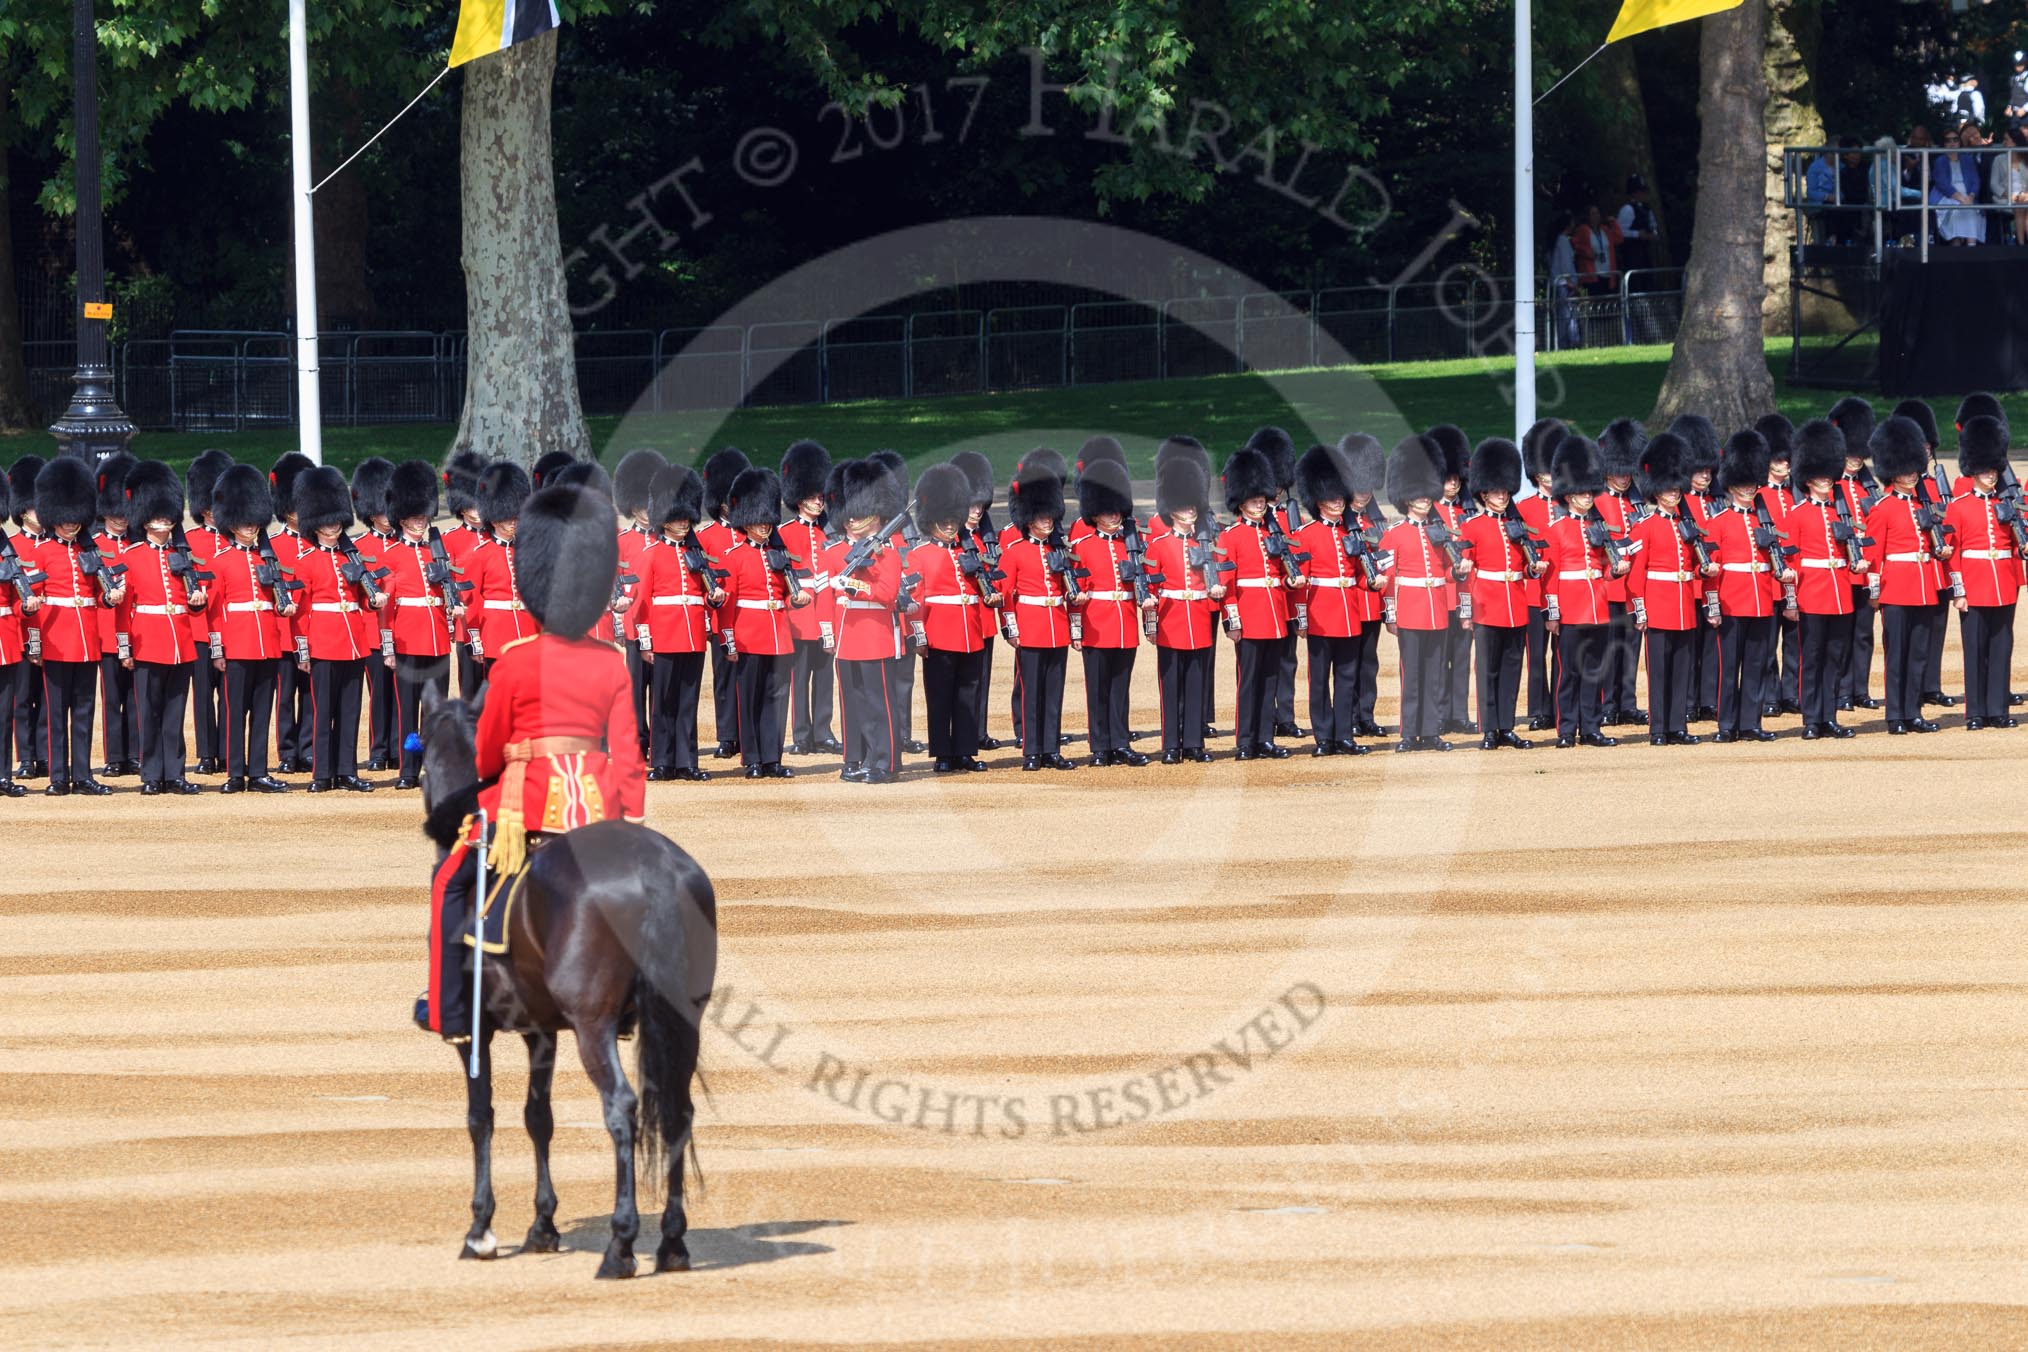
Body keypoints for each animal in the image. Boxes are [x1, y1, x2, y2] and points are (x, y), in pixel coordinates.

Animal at [415, 689, 717, 1281]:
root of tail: (654, 865)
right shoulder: (542, 1030)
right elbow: (539, 1118)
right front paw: (543, 1225)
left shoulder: (475, 1032)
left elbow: (481, 1118)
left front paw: (480, 1229)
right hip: (682, 1020)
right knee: (677, 1110)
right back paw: (672, 1243)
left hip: (593, 1026)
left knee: (622, 1106)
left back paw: (621, 1247)